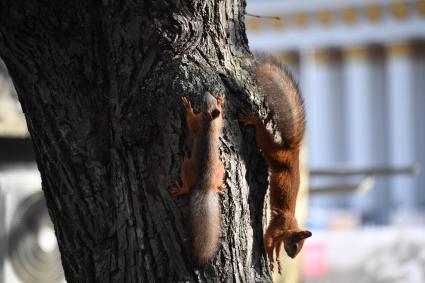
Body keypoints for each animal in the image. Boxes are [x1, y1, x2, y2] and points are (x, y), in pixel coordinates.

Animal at [168, 92, 224, 264]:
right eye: (209, 100)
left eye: (205, 102)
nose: (206, 92)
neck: (208, 122)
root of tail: (205, 185)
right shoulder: (216, 123)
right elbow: (221, 117)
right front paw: (221, 102)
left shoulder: (197, 123)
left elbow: (191, 122)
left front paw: (187, 106)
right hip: (221, 167)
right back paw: (219, 187)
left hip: (187, 166)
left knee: (187, 186)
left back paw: (181, 189)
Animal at [238, 57, 312, 276]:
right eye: (296, 245)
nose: (293, 257)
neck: (291, 225)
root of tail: (292, 151)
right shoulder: (277, 227)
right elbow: (268, 241)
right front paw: (270, 261)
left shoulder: (280, 235)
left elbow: (276, 247)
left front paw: (277, 262)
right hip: (274, 152)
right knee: (264, 138)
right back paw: (252, 120)